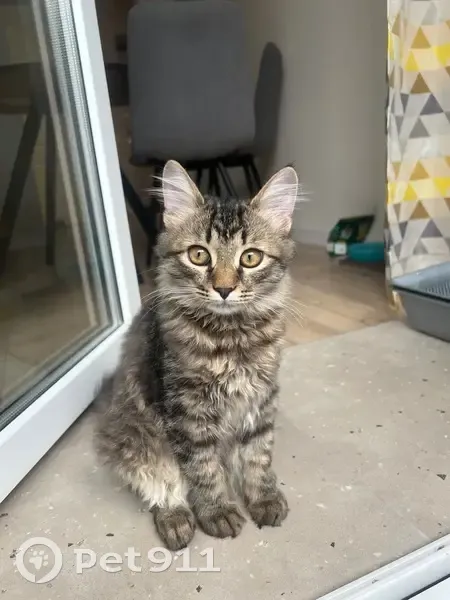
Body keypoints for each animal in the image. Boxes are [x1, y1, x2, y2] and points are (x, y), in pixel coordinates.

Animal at [95, 160, 298, 550]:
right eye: (199, 255)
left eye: (250, 258)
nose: (224, 288)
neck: (230, 337)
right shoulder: (185, 410)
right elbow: (201, 468)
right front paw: (216, 511)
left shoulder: (261, 398)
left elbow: (258, 455)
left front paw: (263, 496)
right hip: (136, 435)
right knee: (162, 482)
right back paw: (176, 520)